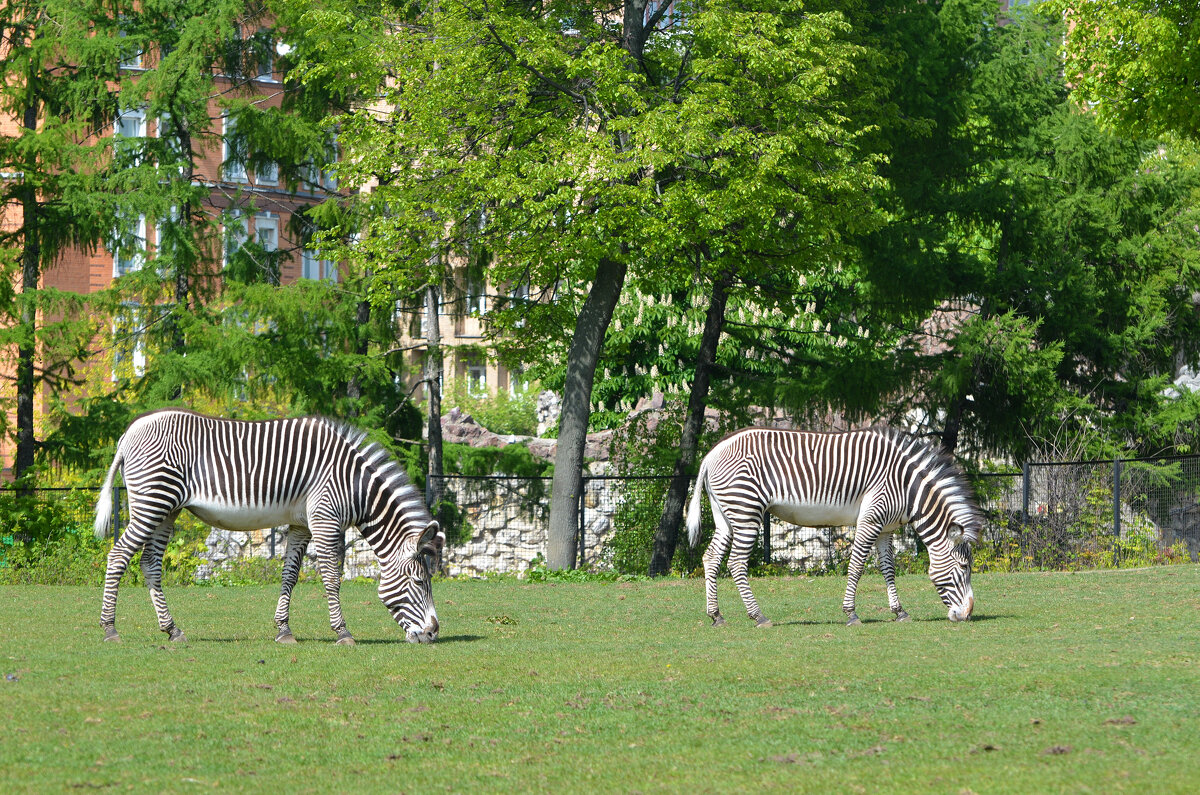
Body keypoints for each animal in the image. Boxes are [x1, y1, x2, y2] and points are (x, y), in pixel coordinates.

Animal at [91, 410, 444, 648]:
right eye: (419, 581)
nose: (432, 633)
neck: (354, 484)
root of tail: (128, 433)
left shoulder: (302, 523)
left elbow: (290, 575)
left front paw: (284, 630)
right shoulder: (325, 519)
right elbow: (332, 577)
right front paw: (343, 632)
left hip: (167, 510)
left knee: (149, 564)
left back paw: (172, 630)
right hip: (153, 502)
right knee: (118, 555)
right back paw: (109, 628)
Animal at [686, 429, 984, 629]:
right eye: (963, 568)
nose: (968, 615)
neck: (906, 486)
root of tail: (710, 455)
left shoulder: (886, 528)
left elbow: (888, 568)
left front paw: (899, 612)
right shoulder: (871, 519)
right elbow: (857, 566)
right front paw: (851, 613)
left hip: (725, 515)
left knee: (711, 558)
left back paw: (716, 616)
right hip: (746, 510)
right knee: (736, 563)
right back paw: (758, 616)